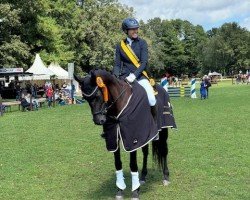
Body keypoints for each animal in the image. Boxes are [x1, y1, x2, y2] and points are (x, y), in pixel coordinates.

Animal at [74, 69, 176, 199]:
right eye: (85, 98)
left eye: (97, 95)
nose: (98, 120)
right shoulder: (114, 138)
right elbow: (118, 163)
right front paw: (120, 190)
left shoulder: (132, 138)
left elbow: (133, 165)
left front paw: (135, 191)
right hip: (146, 135)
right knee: (145, 152)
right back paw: (143, 176)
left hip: (163, 132)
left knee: (164, 151)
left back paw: (166, 177)